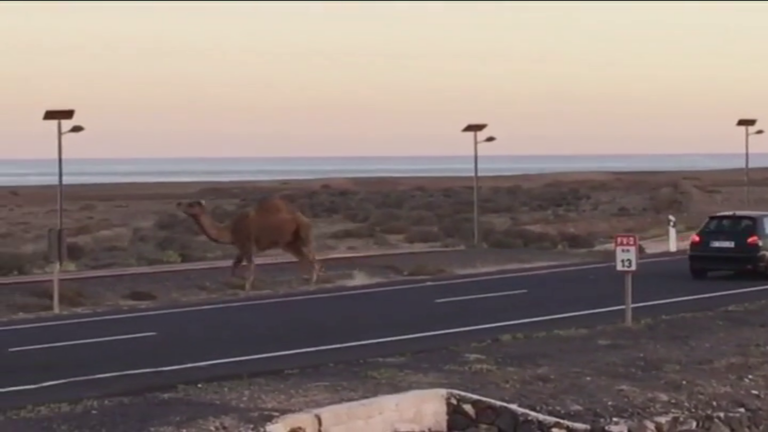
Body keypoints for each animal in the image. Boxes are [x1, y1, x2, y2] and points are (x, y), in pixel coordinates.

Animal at [176, 197, 323, 291]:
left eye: (191, 205)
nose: (178, 203)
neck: (230, 230)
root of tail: (305, 218)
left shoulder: (246, 244)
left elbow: (250, 265)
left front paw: (247, 286)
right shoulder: (240, 247)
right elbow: (235, 264)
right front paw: (234, 282)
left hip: (304, 234)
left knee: (311, 255)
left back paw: (312, 280)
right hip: (289, 243)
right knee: (302, 257)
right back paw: (302, 279)